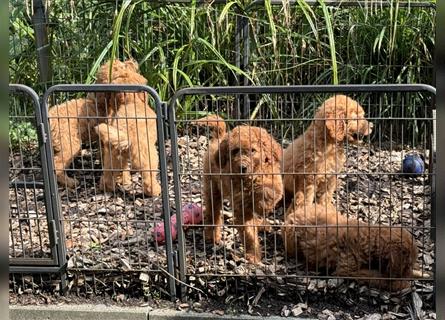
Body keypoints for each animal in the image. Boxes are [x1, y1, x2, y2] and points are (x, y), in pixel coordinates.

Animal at [195, 116, 282, 264]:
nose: (242, 167)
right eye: (235, 151)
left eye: (253, 150)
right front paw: (253, 255)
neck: (249, 179)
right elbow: (248, 233)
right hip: (212, 188)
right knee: (213, 212)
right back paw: (212, 235)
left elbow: (269, 192)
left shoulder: (275, 181)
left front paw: (263, 205)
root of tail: (219, 138)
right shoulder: (241, 209)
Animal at [282, 204, 418, 292]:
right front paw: (402, 283)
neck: (370, 239)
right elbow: (377, 277)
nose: (409, 274)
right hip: (291, 236)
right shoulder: (347, 269)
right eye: (407, 265)